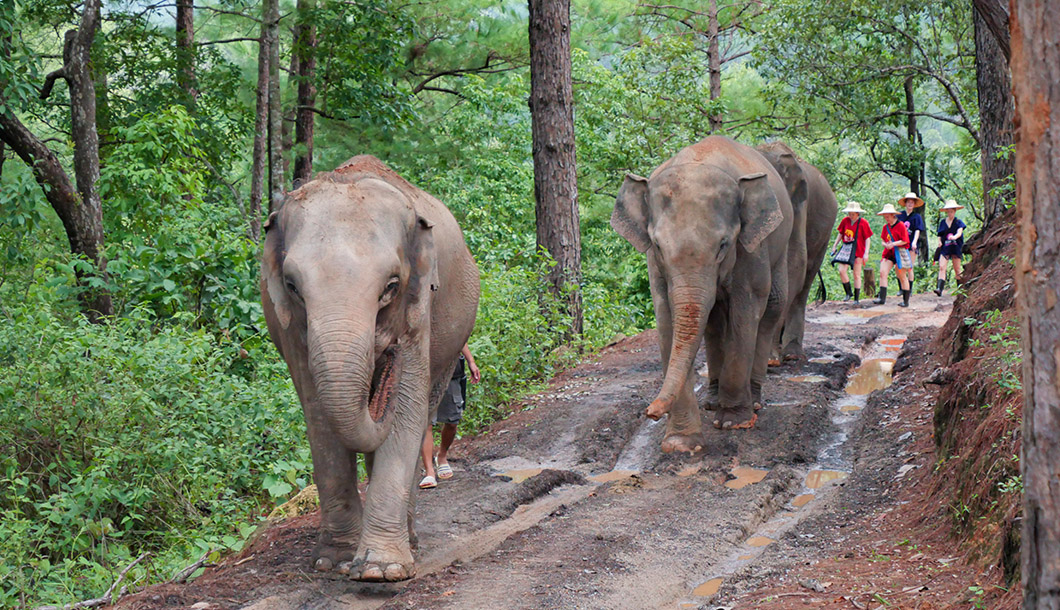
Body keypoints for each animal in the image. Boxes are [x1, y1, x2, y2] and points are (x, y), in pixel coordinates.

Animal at [261, 155, 479, 581]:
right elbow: (319, 417)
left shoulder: (419, 309)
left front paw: (381, 569)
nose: (387, 353)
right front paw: (334, 561)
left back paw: (410, 541)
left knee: (426, 408)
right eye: (293, 287)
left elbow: (407, 409)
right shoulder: (290, 327)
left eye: (391, 286)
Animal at [611, 136, 793, 452]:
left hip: (778, 239)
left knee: (772, 305)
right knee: (713, 321)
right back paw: (711, 402)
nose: (650, 412)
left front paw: (733, 422)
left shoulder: (750, 249)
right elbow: (667, 319)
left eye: (723, 245)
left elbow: (745, 310)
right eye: (657, 246)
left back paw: (753, 403)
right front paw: (681, 444)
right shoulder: (655, 267)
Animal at [755, 142, 839, 362]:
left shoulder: (799, 201)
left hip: (825, 235)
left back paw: (792, 354)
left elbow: (795, 261)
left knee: (806, 279)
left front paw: (769, 358)